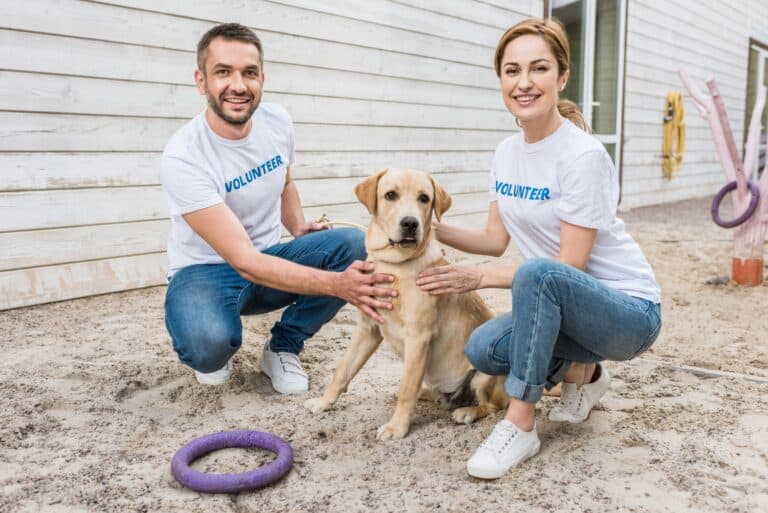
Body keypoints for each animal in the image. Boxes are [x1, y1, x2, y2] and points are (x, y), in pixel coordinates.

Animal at [306, 168, 510, 440]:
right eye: (390, 195)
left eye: (424, 198)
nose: (410, 223)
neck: (394, 266)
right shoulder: (367, 328)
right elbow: (343, 370)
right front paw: (323, 402)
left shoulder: (418, 337)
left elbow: (407, 388)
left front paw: (397, 428)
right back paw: (431, 395)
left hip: (482, 376)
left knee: (495, 405)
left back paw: (468, 411)